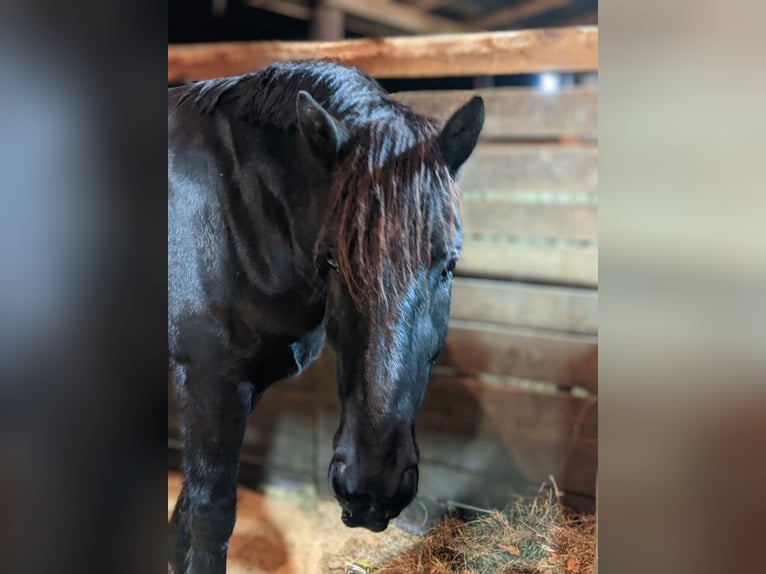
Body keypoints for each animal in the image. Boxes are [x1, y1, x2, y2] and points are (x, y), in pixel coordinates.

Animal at [167, 60, 484, 572]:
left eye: (448, 265)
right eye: (332, 260)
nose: (372, 490)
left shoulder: (242, 385)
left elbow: (184, 519)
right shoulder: (206, 380)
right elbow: (210, 517)